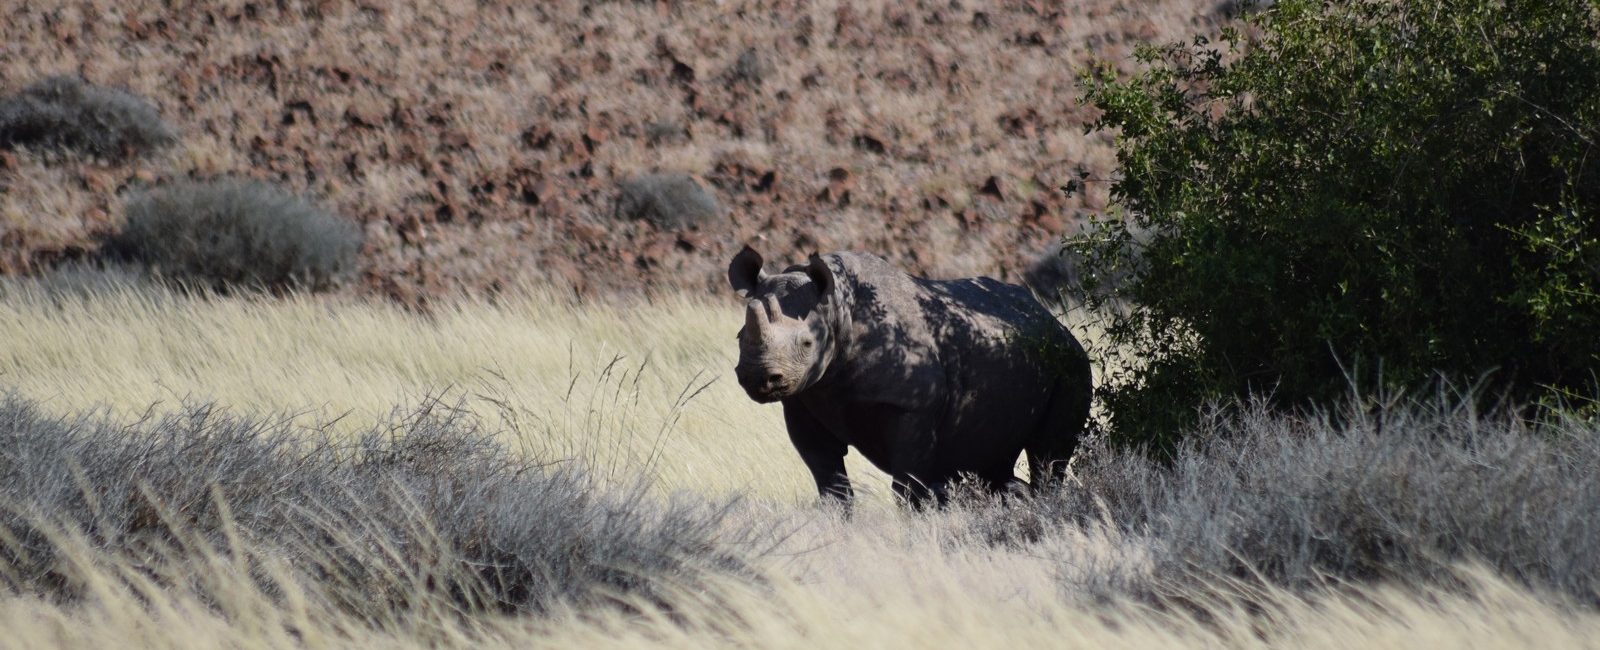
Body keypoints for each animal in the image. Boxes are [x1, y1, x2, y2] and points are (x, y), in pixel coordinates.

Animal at [732, 246, 1094, 505]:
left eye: (807, 343)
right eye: (739, 337)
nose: (758, 379)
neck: (837, 311)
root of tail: (1054, 322)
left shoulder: (912, 407)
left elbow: (906, 488)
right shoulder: (804, 401)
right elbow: (831, 485)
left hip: (1072, 364)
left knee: (1048, 455)